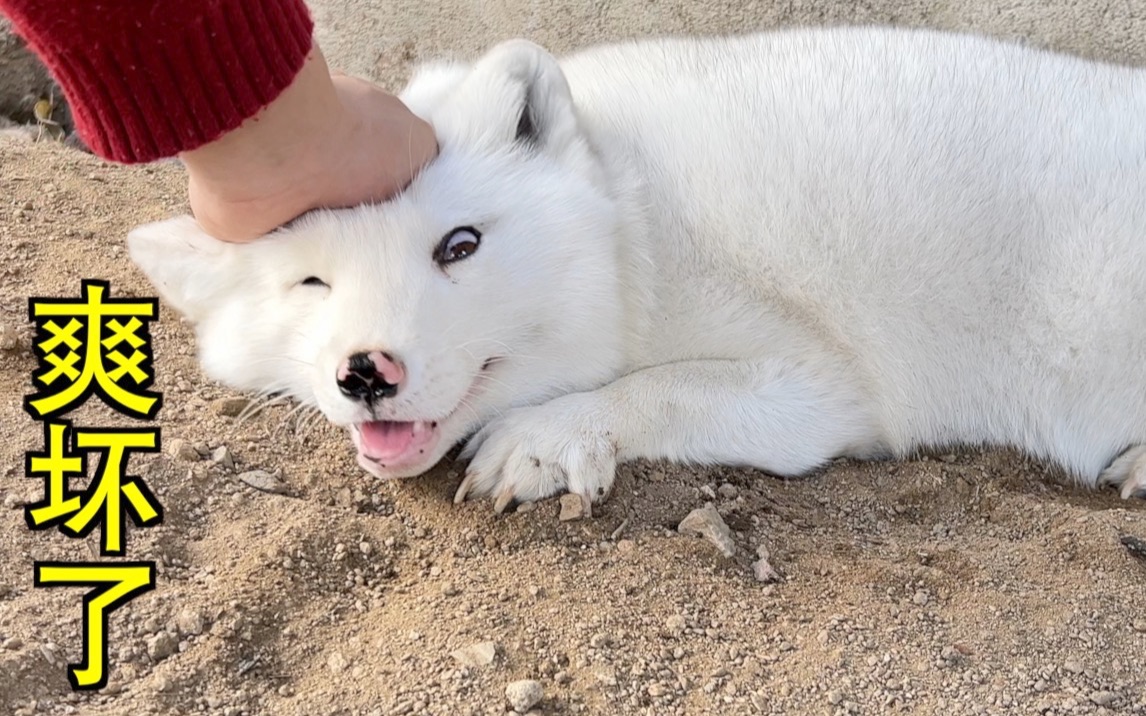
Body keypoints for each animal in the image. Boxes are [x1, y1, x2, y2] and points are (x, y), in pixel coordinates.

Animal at [127, 25, 1146, 510]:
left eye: (461, 246)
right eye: (310, 283)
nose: (366, 373)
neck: (634, 225)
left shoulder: (824, 390)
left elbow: (664, 388)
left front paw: (547, 436)